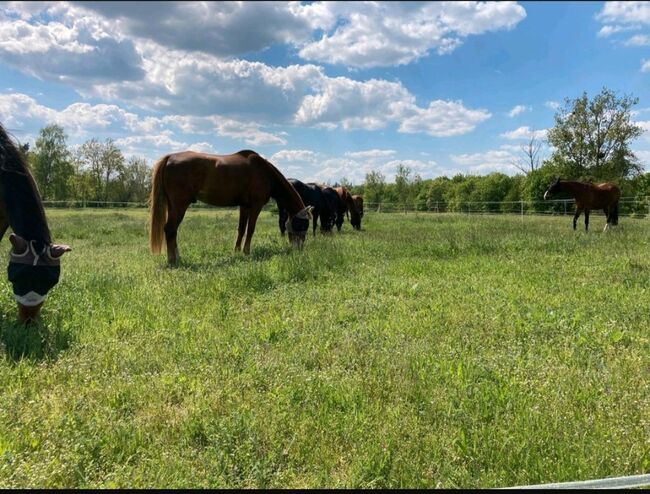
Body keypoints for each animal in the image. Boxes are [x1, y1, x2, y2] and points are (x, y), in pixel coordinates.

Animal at [152, 150, 314, 264]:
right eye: (303, 225)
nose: (299, 248)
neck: (264, 172)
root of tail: (170, 157)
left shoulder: (244, 206)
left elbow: (241, 229)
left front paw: (236, 251)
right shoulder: (256, 205)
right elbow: (251, 229)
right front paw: (247, 252)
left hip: (173, 206)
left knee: (173, 231)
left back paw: (177, 257)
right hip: (180, 205)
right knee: (170, 229)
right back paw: (173, 260)